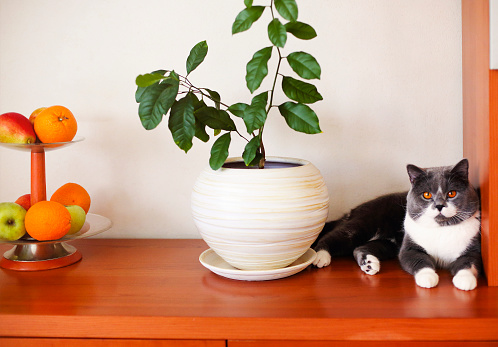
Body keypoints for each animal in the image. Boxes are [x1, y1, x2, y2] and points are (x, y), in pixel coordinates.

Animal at [312, 159, 482, 292]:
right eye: (427, 195)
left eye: (452, 193)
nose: (439, 205)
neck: (441, 229)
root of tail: (352, 210)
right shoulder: (409, 247)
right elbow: (419, 260)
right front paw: (428, 278)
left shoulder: (474, 246)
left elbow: (469, 262)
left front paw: (466, 280)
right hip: (364, 223)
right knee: (336, 236)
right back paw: (320, 256)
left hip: (388, 244)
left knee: (359, 247)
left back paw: (369, 264)